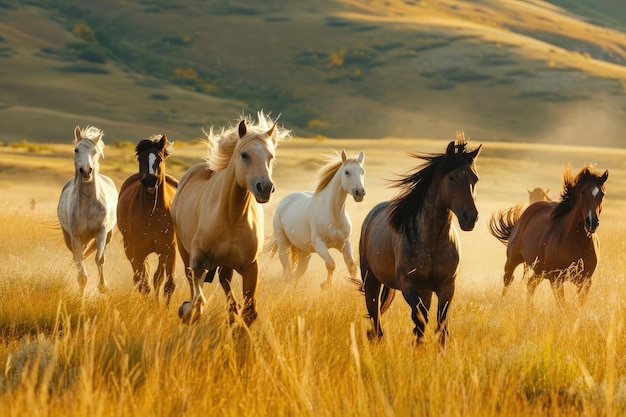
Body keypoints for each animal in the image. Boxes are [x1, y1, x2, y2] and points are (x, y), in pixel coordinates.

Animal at [58, 124, 119, 296]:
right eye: (76, 150)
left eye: (95, 151)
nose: (86, 171)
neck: (87, 203)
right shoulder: (75, 238)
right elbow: (81, 275)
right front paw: (81, 299)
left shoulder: (101, 232)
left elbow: (99, 259)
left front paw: (103, 287)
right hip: (70, 239)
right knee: (77, 258)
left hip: (108, 235)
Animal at [116, 135, 178, 304]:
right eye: (140, 159)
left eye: (160, 159)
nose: (150, 180)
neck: (153, 212)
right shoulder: (138, 251)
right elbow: (145, 284)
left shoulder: (169, 250)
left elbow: (166, 284)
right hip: (130, 248)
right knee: (139, 279)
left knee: (157, 279)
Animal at [270, 150, 366, 290]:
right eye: (346, 172)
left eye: (363, 171)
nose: (360, 193)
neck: (333, 213)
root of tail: (284, 201)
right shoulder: (319, 244)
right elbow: (331, 264)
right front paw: (325, 285)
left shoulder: (345, 244)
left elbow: (352, 266)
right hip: (283, 246)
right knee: (288, 272)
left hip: (304, 253)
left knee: (297, 273)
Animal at [356, 133, 482, 348]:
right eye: (451, 177)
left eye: (475, 178)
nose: (470, 217)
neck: (432, 241)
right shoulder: (408, 285)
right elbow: (420, 319)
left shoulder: (447, 287)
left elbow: (441, 327)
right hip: (371, 279)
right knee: (375, 316)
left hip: (425, 291)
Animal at [488, 164, 604, 304]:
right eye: (582, 193)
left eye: (602, 194)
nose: (592, 222)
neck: (577, 241)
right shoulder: (556, 280)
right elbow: (563, 305)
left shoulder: (585, 282)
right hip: (513, 260)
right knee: (508, 280)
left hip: (539, 271)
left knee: (530, 285)